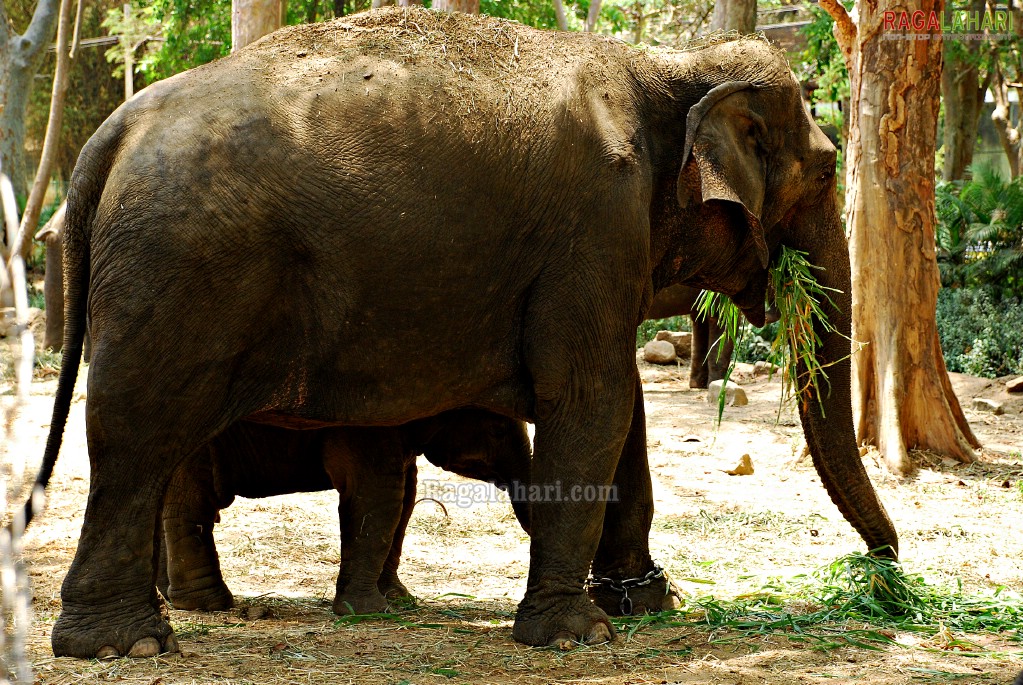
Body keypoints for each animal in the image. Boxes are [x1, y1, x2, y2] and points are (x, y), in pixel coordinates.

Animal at [160, 408, 531, 617]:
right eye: (497, 429)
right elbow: (379, 492)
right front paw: (370, 613)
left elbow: (405, 494)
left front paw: (398, 600)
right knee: (193, 503)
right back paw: (208, 604)